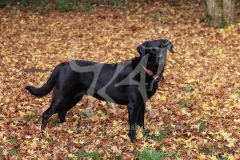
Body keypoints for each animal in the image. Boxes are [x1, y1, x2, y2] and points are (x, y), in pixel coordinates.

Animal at [25, 39, 173, 142]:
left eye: (162, 47)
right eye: (151, 50)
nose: (160, 58)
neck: (146, 70)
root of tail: (62, 65)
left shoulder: (141, 103)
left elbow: (141, 122)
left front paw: (144, 135)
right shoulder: (133, 105)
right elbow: (133, 126)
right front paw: (134, 141)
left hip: (74, 96)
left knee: (62, 111)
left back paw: (65, 126)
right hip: (62, 95)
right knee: (47, 113)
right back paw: (43, 132)